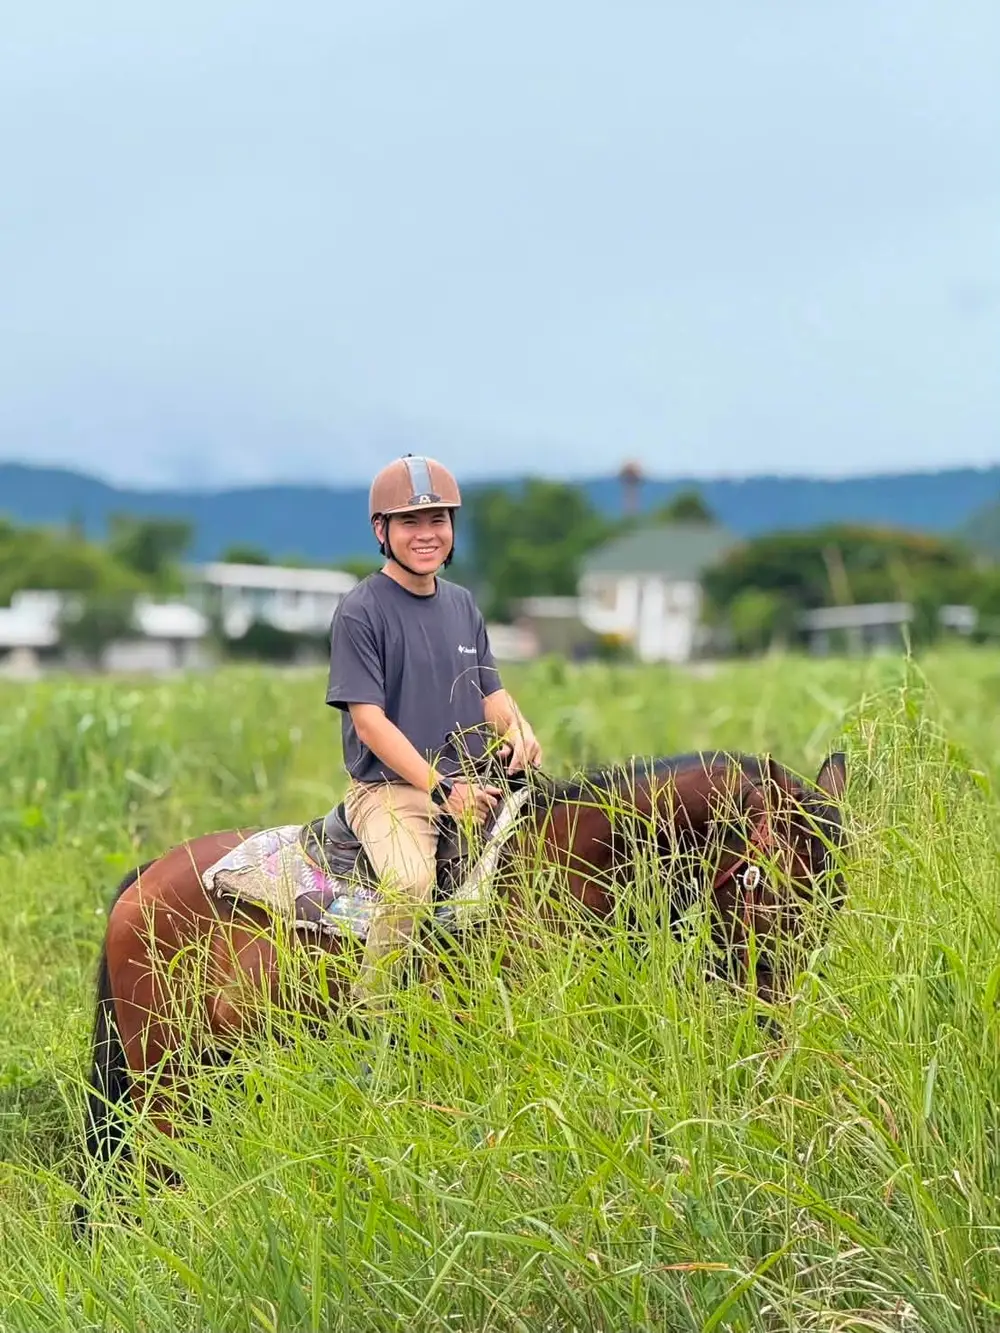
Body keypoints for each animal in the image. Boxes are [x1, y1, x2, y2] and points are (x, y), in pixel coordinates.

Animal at [73, 746, 847, 1227]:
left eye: (832, 904)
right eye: (766, 885)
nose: (777, 1032)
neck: (561, 872)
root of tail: (142, 881)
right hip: (166, 1086)